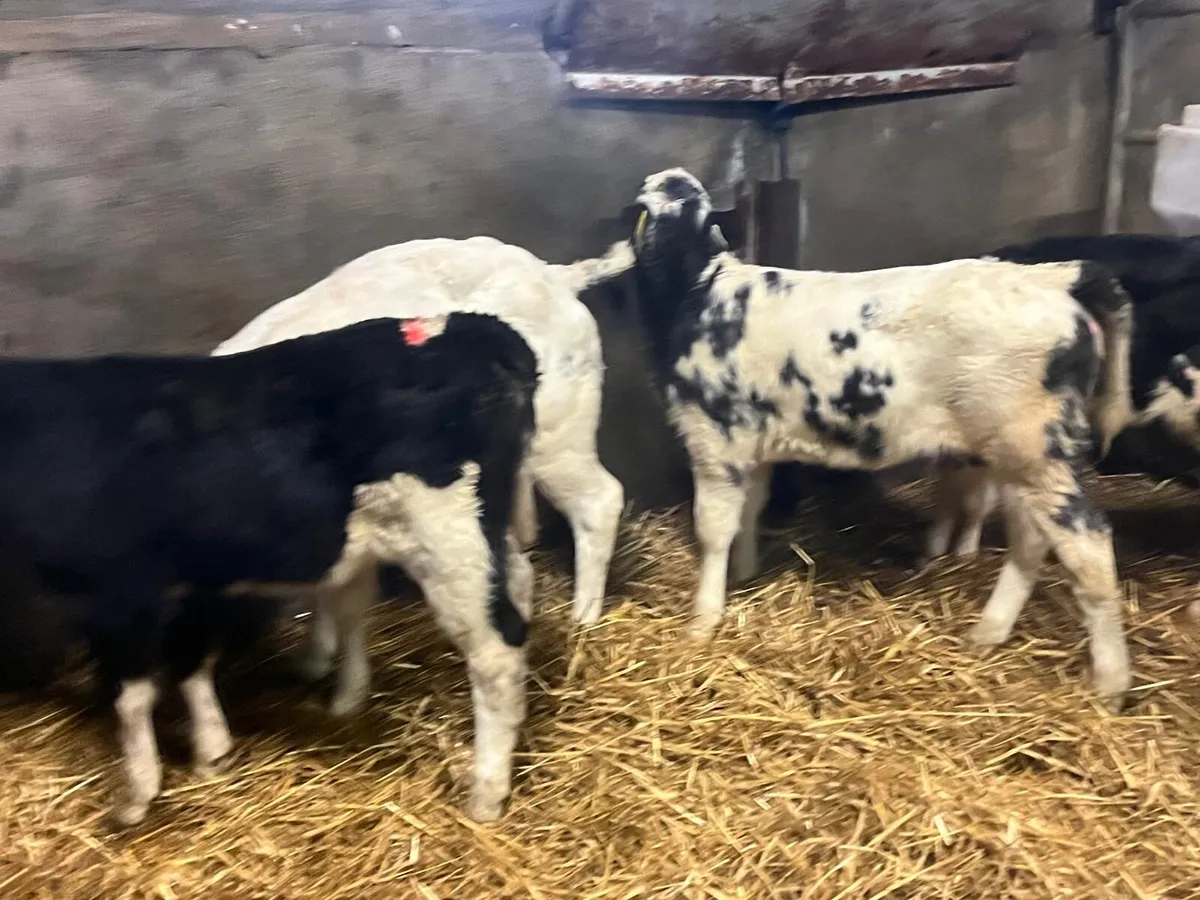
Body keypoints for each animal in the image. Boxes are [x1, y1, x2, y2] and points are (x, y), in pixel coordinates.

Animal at [0, 313, 538, 826]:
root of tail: (475, 330)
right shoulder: (197, 580)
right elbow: (192, 661)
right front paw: (212, 753)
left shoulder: (123, 590)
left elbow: (130, 694)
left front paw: (136, 795)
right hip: (480, 533)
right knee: (514, 584)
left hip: (449, 540)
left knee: (497, 652)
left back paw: (486, 792)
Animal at [627, 166, 1136, 711]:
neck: (699, 290)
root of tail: (1052, 277)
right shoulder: (753, 443)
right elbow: (750, 511)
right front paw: (742, 579)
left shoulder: (712, 439)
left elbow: (713, 529)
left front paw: (702, 621)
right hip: (1021, 456)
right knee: (1032, 538)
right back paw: (989, 633)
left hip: (1032, 449)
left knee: (1087, 540)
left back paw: (1110, 685)